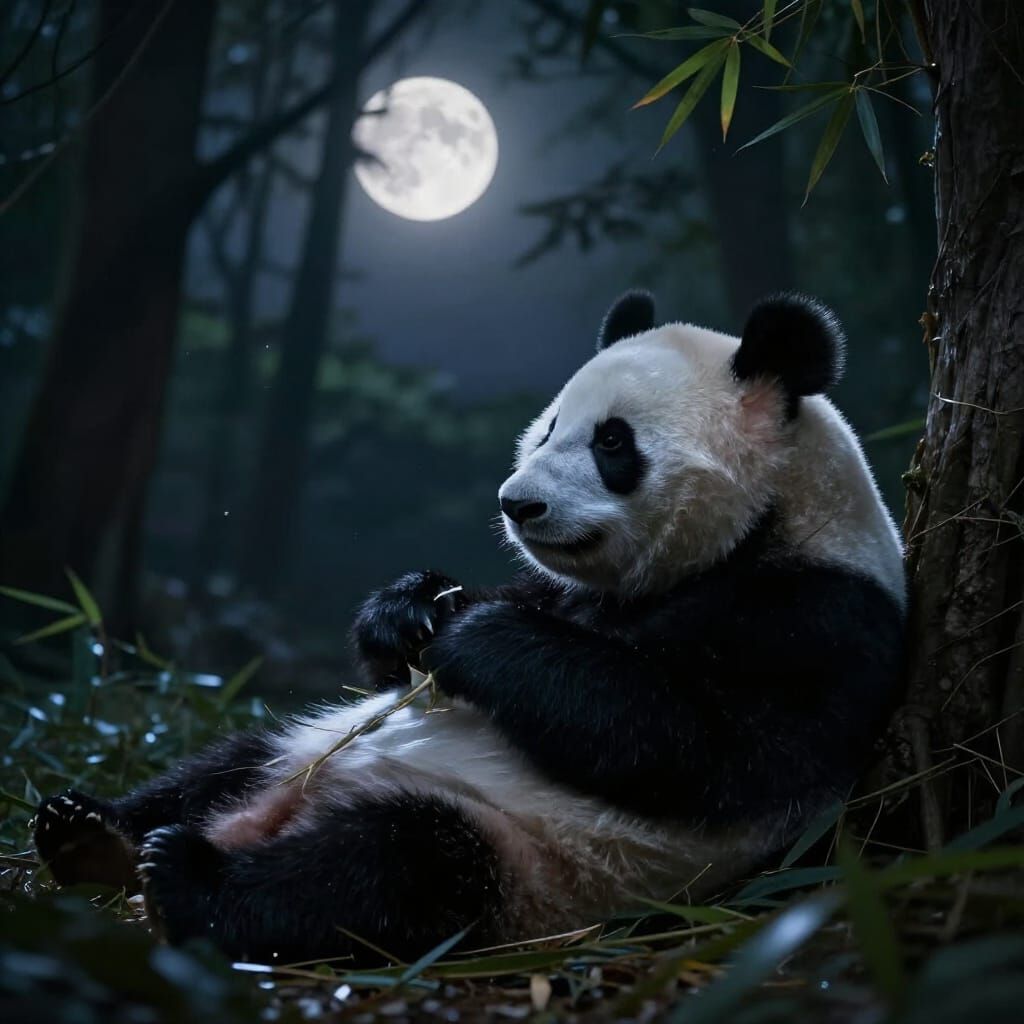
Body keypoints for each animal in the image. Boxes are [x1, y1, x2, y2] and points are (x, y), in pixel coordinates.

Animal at [33, 291, 906, 964]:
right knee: (221, 765)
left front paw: (478, 641)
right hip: (301, 748)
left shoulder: (817, 619)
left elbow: (696, 747)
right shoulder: (560, 585)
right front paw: (413, 613)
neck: (764, 525)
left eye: (613, 441)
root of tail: (267, 820)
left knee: (384, 872)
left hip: (528, 861)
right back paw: (90, 832)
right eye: (550, 425)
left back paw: (187, 876)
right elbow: (417, 650)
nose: (519, 503)